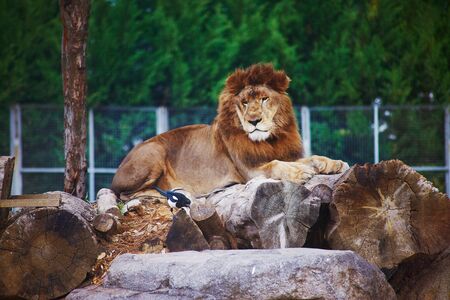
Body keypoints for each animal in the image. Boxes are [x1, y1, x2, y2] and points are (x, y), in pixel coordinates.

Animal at [110, 63, 350, 199]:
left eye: (264, 99)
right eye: (244, 102)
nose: (254, 121)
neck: (268, 139)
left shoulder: (283, 153)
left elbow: (310, 158)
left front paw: (333, 163)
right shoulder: (249, 172)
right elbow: (276, 165)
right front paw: (300, 173)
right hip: (153, 153)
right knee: (124, 194)